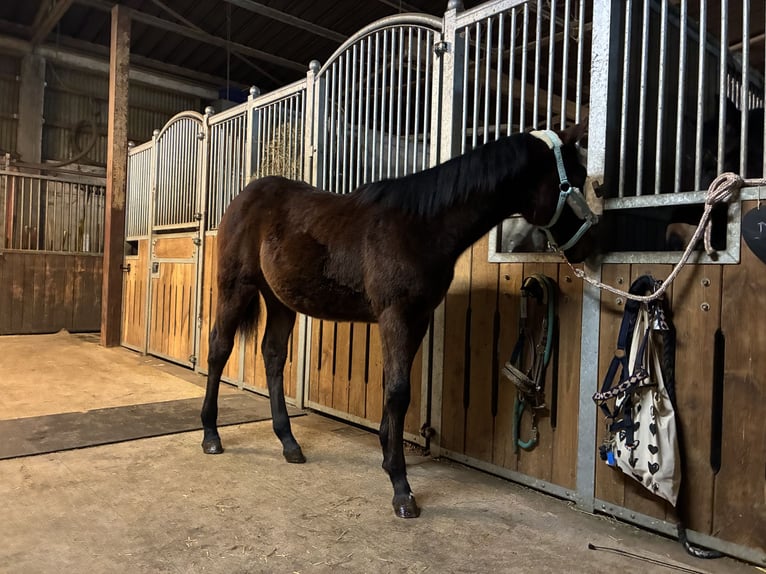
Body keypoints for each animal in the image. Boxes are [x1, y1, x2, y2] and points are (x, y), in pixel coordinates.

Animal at [200, 124, 597, 519]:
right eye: (576, 178)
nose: (589, 246)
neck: (421, 226)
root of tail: (245, 195)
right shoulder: (396, 316)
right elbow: (398, 392)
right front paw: (401, 487)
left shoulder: (417, 317)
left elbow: (395, 387)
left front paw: (387, 456)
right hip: (236, 288)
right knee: (219, 349)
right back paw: (211, 435)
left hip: (280, 299)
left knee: (273, 355)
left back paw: (289, 443)